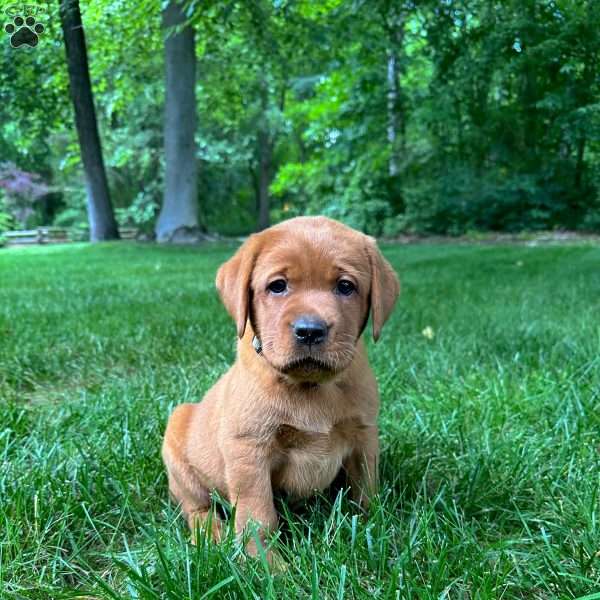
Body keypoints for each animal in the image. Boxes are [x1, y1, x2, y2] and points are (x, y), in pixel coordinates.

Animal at [162, 216, 400, 552]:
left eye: (345, 286)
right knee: (195, 508)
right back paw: (211, 536)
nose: (310, 330)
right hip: (178, 450)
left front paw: (372, 534)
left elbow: (366, 492)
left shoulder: (364, 435)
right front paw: (264, 562)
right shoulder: (248, 449)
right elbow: (258, 518)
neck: (311, 387)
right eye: (277, 286)